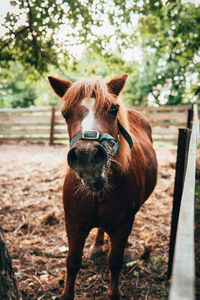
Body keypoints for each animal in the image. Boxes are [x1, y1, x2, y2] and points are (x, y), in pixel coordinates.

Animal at [48, 73, 158, 300]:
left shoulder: (123, 223)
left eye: (114, 110)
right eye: (65, 114)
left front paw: (114, 293)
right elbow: (72, 262)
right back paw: (97, 246)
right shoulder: (73, 222)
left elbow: (114, 261)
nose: (87, 156)